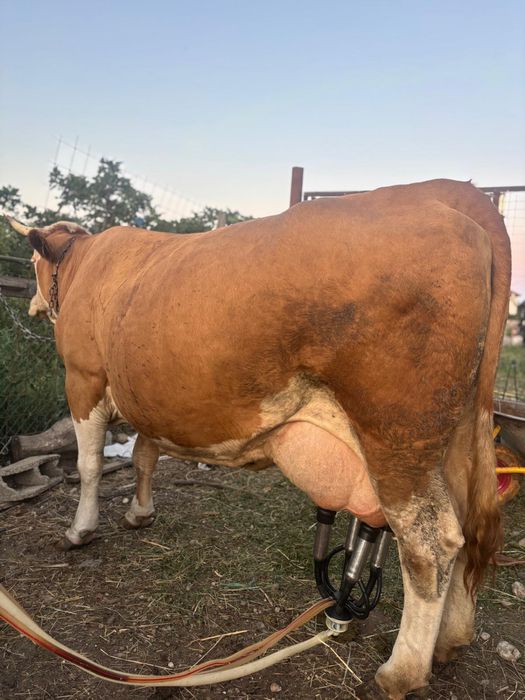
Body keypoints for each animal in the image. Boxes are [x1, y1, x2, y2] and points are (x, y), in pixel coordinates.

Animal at [7, 179, 511, 699]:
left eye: (34, 262)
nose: (32, 304)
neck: (86, 263)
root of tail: (444, 191)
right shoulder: (148, 399)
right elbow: (145, 455)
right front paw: (139, 513)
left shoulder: (83, 377)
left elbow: (89, 465)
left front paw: (80, 530)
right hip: (458, 434)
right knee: (470, 528)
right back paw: (451, 640)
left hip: (397, 436)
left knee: (431, 545)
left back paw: (401, 672)